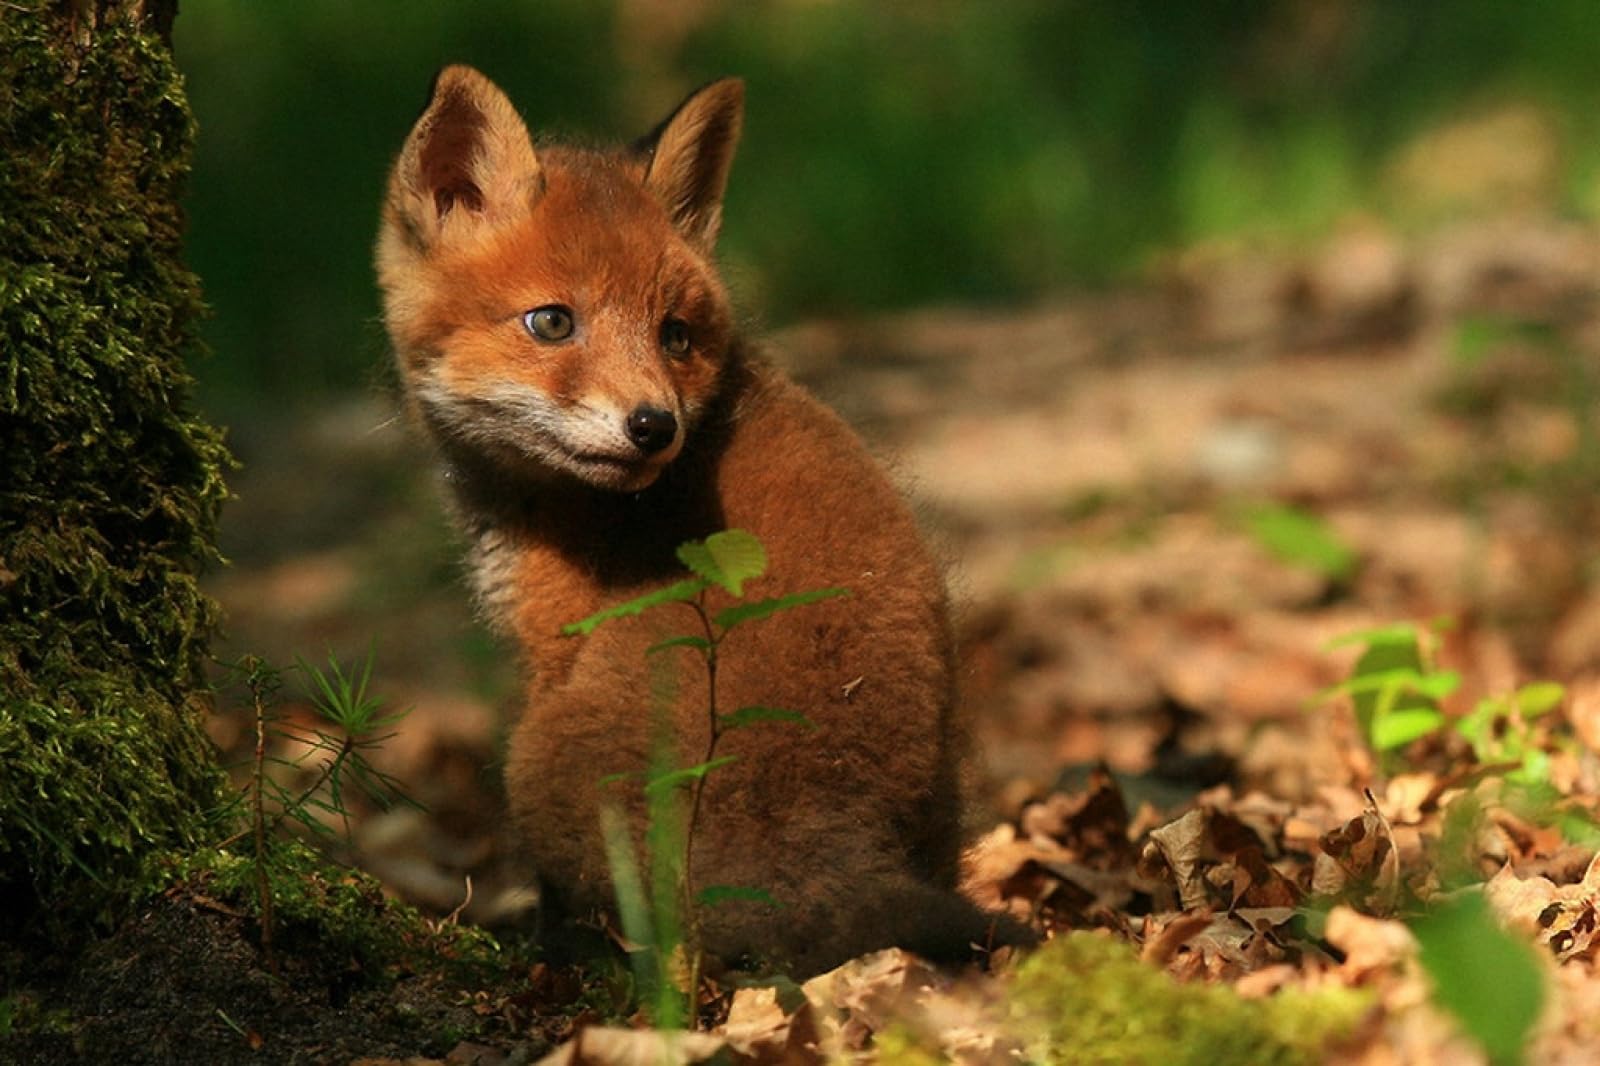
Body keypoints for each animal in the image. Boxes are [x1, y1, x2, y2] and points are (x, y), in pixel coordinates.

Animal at [375, 66, 1025, 976]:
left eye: (673, 335)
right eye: (553, 322)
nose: (655, 426)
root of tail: (835, 844)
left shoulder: (551, 647)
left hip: (533, 758)